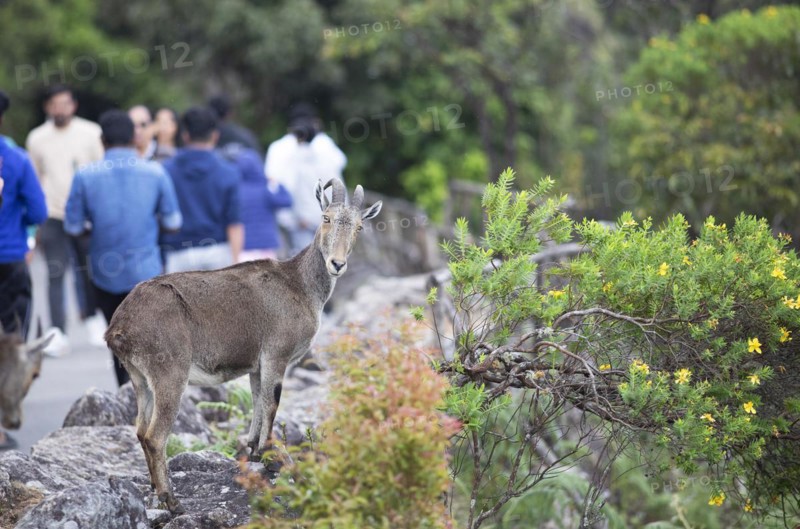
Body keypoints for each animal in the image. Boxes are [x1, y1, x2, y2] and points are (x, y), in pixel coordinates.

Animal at [105, 178, 382, 514]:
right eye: (325, 217)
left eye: (359, 226)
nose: (337, 264)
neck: (299, 285)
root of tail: (119, 328)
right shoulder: (277, 354)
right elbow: (272, 403)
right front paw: (275, 458)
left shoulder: (256, 365)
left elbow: (257, 401)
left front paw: (255, 451)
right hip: (169, 372)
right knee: (156, 436)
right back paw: (172, 501)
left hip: (139, 378)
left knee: (141, 430)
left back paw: (155, 491)